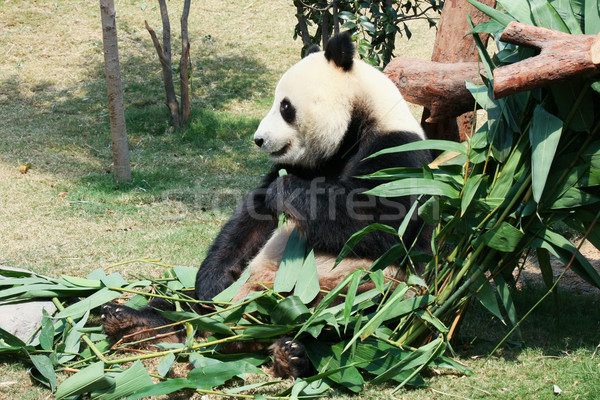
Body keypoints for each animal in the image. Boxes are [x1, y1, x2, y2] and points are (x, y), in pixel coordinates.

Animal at [102, 33, 432, 378]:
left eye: (285, 107)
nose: (259, 140)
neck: (355, 125)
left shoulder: (397, 151)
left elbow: (386, 228)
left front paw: (287, 191)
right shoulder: (302, 162)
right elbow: (251, 220)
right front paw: (213, 280)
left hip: (363, 289)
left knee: (347, 318)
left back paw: (291, 352)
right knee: (183, 304)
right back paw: (134, 320)